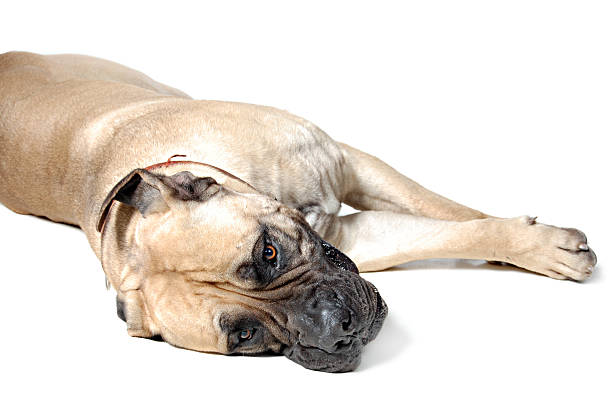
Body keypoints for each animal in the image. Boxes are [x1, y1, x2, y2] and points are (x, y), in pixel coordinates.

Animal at [0, 51, 596, 372]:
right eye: (244, 337)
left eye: (268, 251)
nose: (336, 331)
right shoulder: (364, 237)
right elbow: (447, 232)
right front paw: (525, 246)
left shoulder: (350, 162)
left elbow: (445, 207)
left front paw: (537, 244)